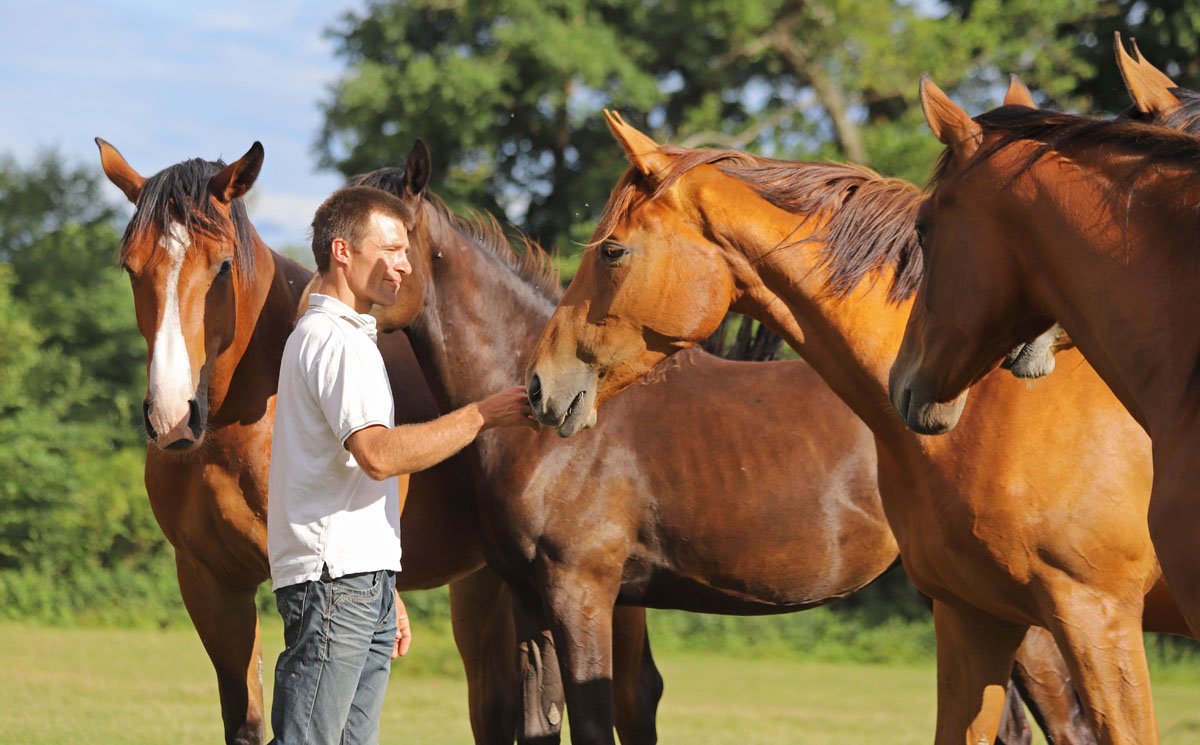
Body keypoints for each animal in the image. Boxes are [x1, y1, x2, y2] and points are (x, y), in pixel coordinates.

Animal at [93, 139, 659, 745]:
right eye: (131, 268)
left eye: (222, 265)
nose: (173, 416)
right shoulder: (211, 588)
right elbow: (246, 722)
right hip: (489, 583)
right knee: (496, 699)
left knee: (633, 694)